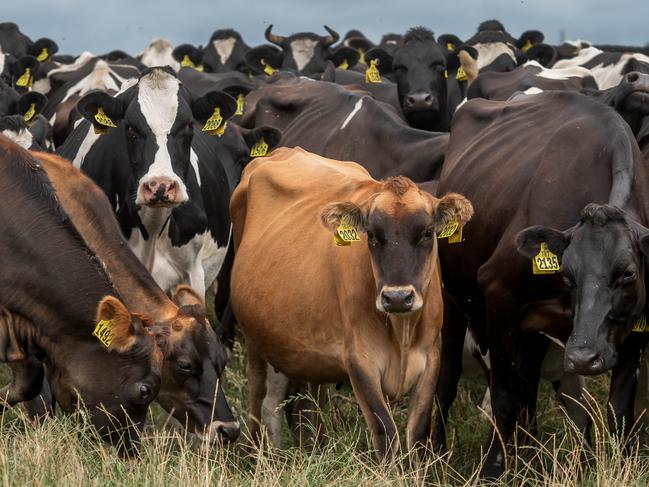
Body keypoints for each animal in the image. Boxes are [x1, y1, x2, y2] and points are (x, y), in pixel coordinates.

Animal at [230, 148, 474, 462]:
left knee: (309, 400)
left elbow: (418, 434)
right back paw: (256, 454)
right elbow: (386, 434)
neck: (402, 331)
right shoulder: (360, 360)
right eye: (372, 236)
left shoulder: (431, 356)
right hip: (254, 337)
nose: (397, 297)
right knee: (259, 393)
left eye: (427, 233)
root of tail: (285, 151)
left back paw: (315, 448)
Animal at [432, 89, 649, 478]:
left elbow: (620, 409)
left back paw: (530, 457)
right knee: (449, 376)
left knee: (528, 385)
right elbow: (503, 395)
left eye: (628, 273)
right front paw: (493, 470)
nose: (582, 357)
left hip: (532, 329)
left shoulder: (636, 326)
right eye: (566, 273)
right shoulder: (499, 292)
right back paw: (432, 452)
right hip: (454, 297)